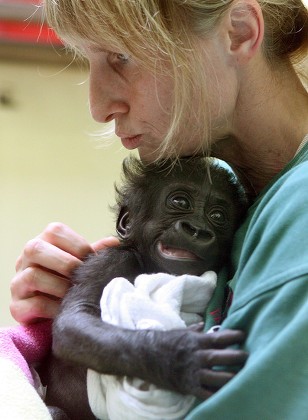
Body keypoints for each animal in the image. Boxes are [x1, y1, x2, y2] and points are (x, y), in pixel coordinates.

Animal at [40, 155, 248, 420]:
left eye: (218, 216)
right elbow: (75, 319)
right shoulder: (108, 261)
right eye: (179, 201)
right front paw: (175, 356)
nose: (196, 229)